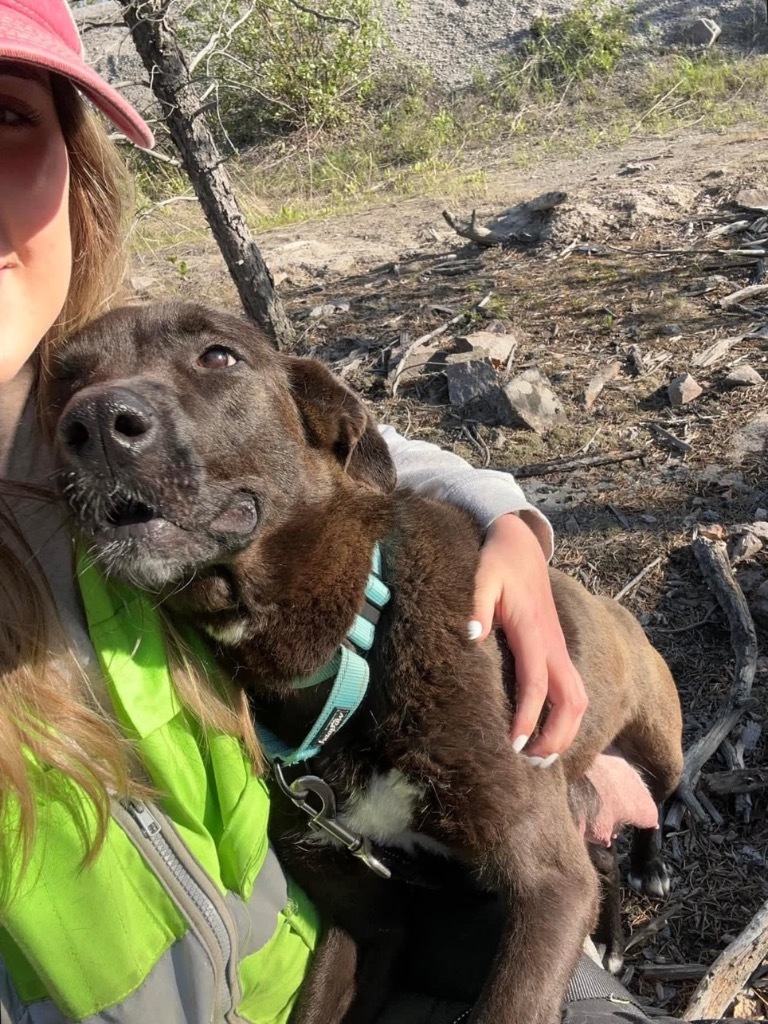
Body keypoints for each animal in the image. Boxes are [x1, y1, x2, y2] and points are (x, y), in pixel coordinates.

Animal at [45, 299, 684, 1024]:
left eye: (218, 356)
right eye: (62, 383)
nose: (95, 423)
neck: (353, 646)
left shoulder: (546, 884)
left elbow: (514, 991)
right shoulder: (370, 920)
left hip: (657, 741)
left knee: (654, 805)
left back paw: (649, 870)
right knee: (599, 860)